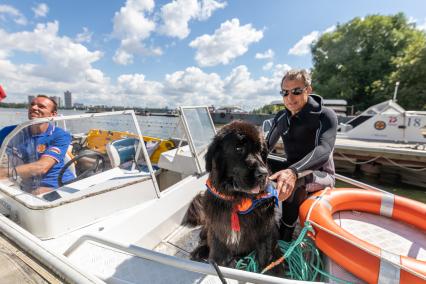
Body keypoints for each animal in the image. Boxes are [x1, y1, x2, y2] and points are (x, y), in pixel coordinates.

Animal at [184, 121, 282, 274]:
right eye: (238, 148)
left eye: (261, 152)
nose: (263, 173)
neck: (237, 200)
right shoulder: (218, 232)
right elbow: (217, 255)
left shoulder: (266, 231)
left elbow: (267, 258)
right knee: (204, 238)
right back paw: (199, 251)